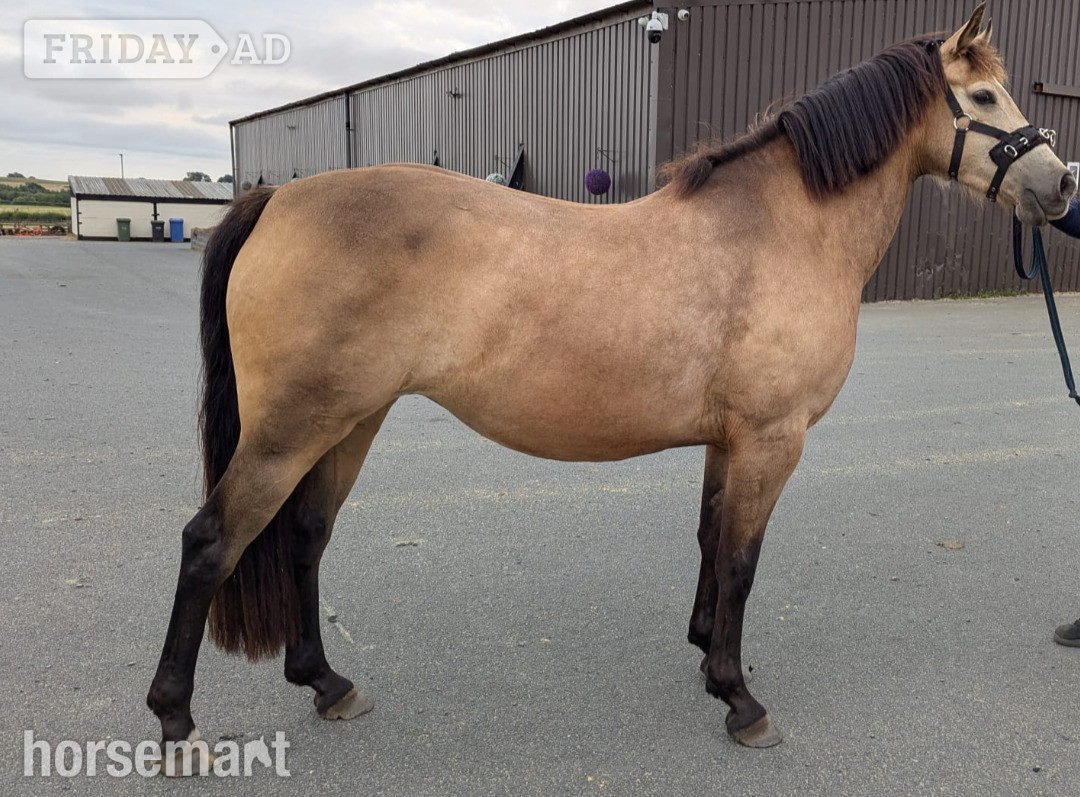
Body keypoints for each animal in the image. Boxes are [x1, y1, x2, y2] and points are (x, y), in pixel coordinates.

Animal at [146, 4, 1075, 772]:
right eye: (984, 96)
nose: (1061, 185)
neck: (779, 229)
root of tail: (278, 199)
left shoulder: (728, 440)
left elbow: (710, 540)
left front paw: (705, 653)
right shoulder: (773, 437)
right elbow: (742, 559)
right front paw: (740, 699)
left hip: (351, 419)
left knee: (305, 538)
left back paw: (327, 683)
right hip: (291, 428)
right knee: (212, 542)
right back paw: (177, 721)